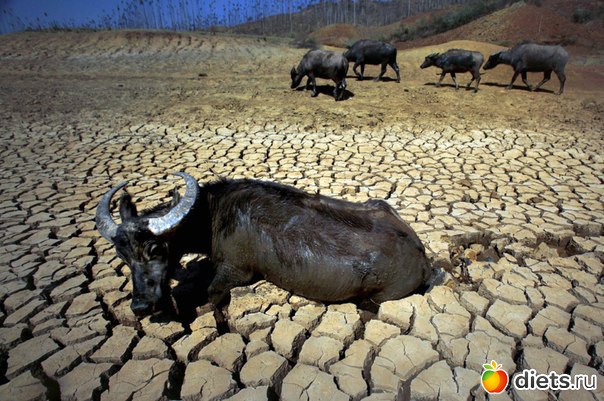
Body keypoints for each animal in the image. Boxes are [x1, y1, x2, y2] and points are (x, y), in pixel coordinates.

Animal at [96, 172, 431, 316]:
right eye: (122, 256)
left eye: (155, 249)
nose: (140, 306)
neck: (211, 214)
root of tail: (422, 257)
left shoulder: (236, 272)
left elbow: (212, 294)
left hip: (376, 299)